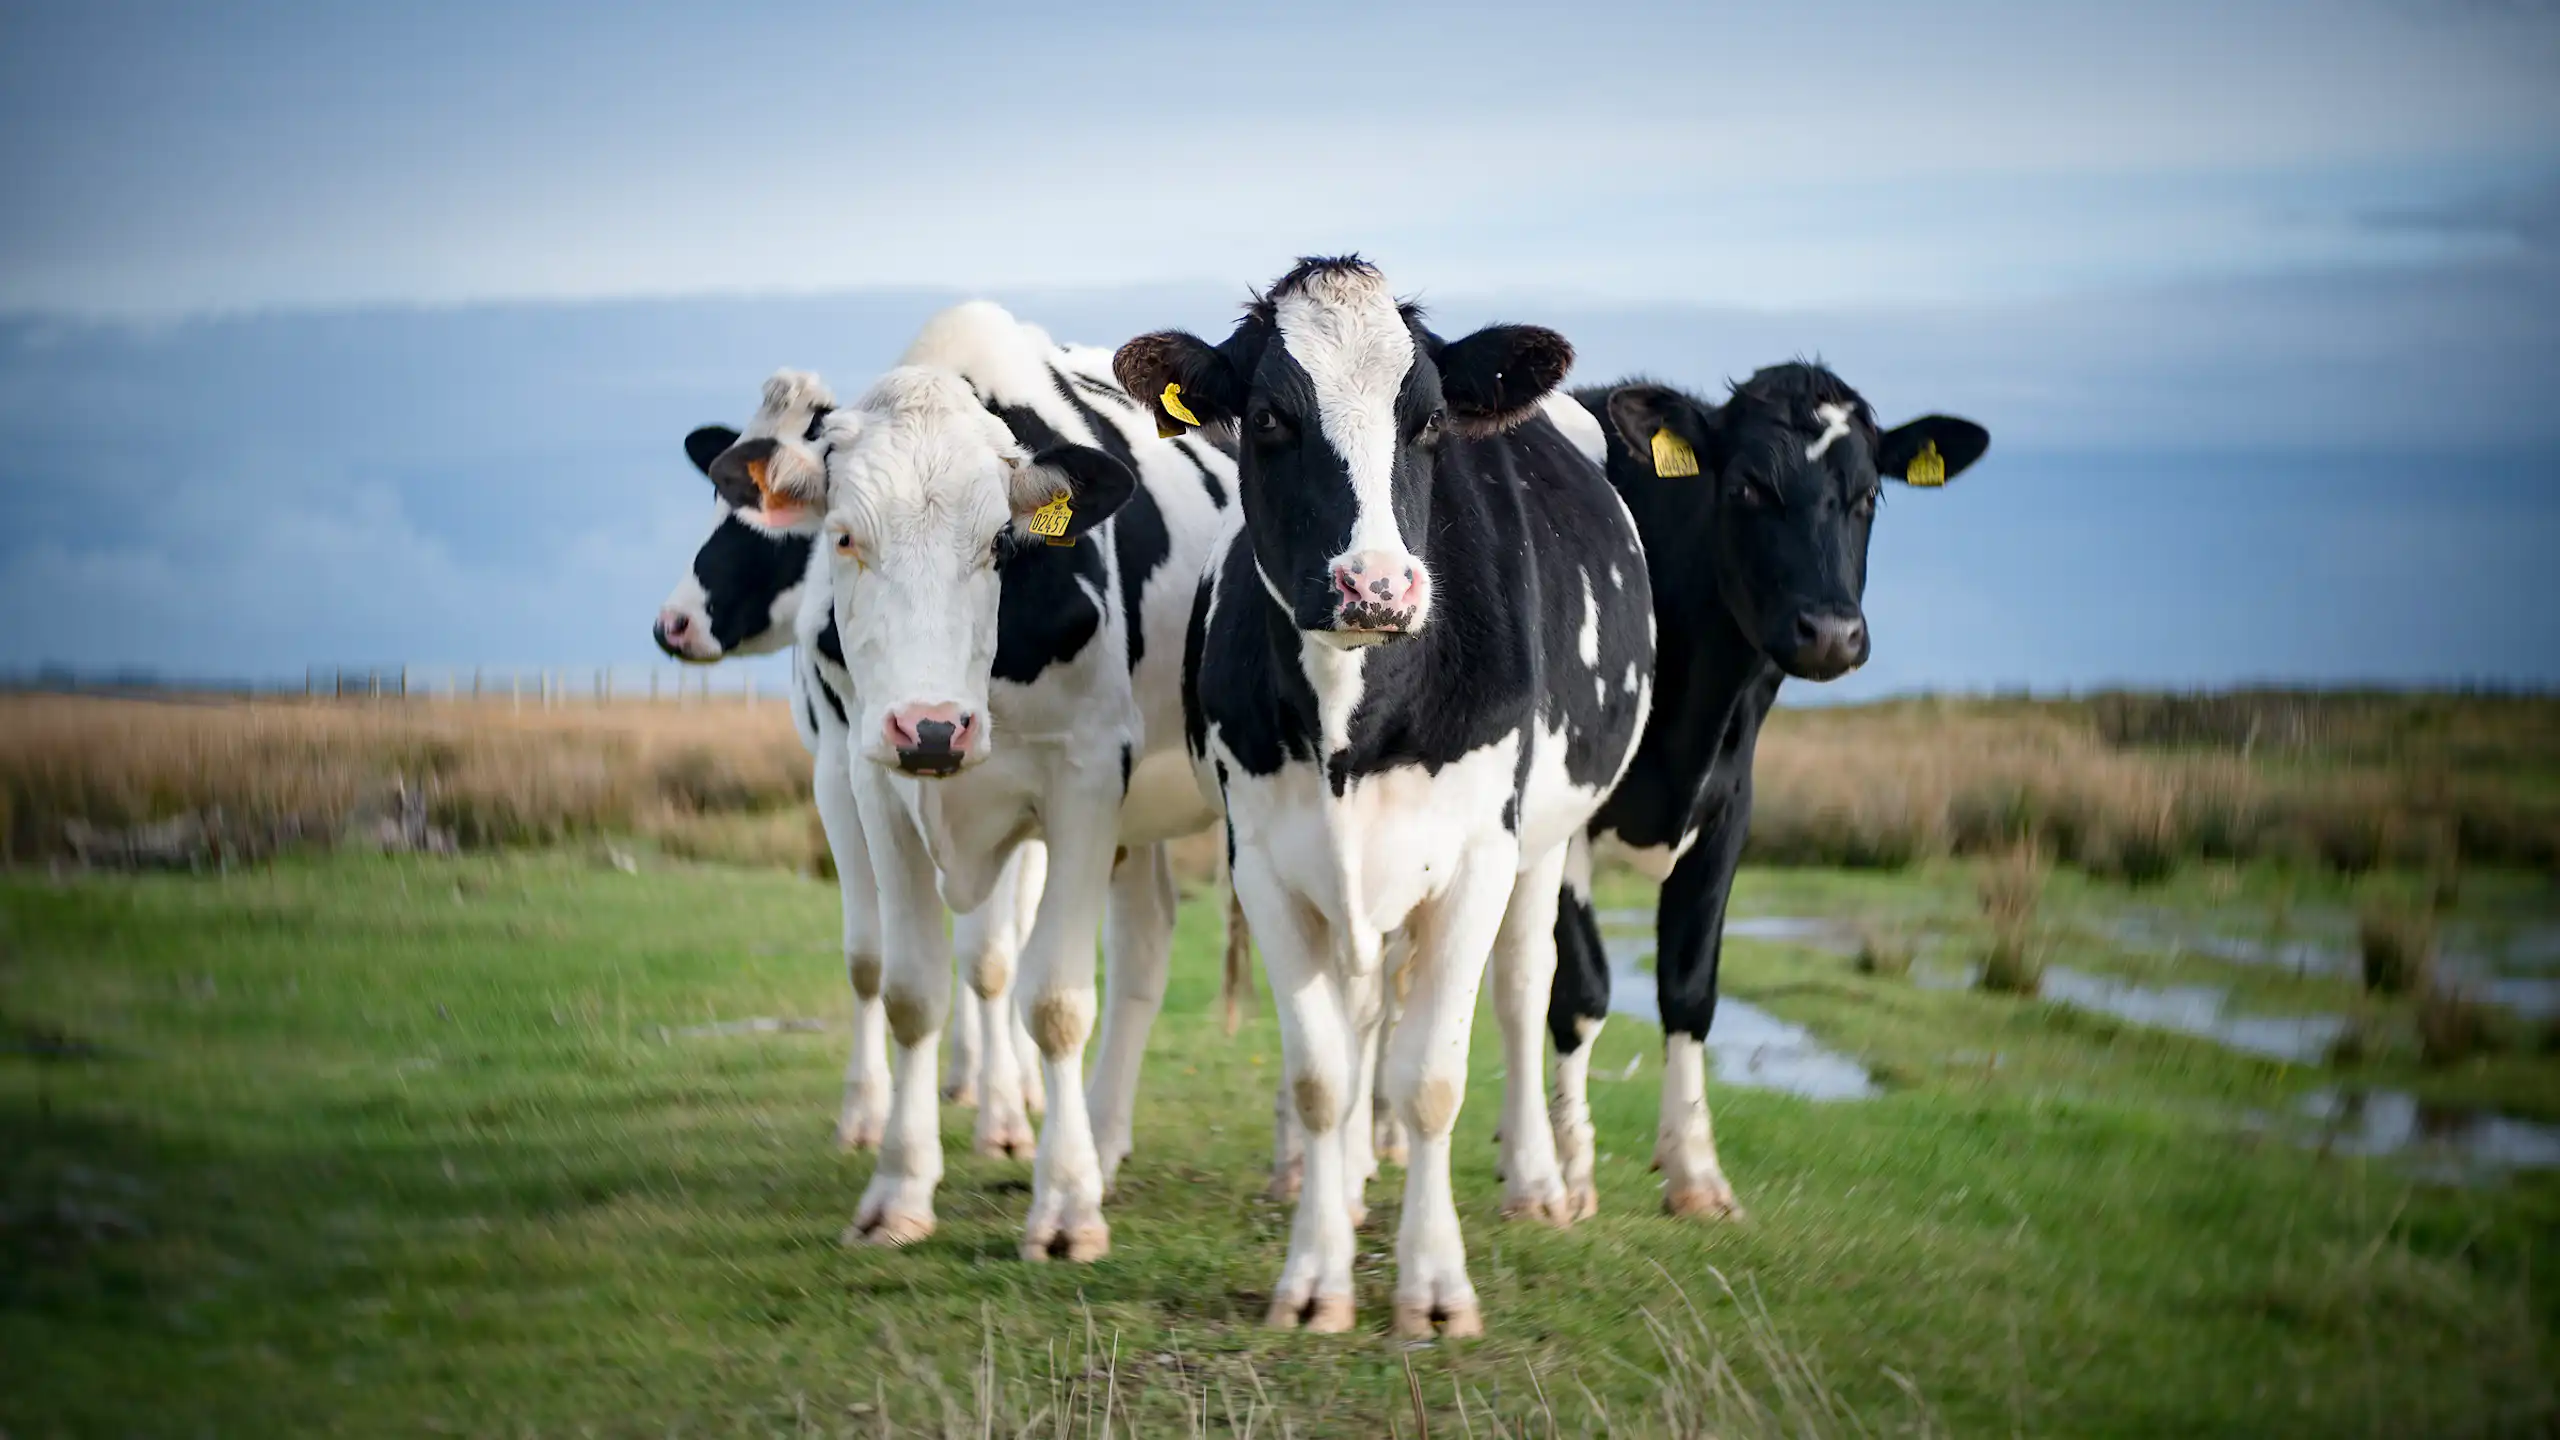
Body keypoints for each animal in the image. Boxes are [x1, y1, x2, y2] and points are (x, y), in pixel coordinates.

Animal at [651, 412, 1049, 1149]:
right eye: (720, 507)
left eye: (773, 530)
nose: (674, 623)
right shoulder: (837, 777)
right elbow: (872, 954)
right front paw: (869, 1110)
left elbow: (990, 954)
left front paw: (1003, 1111)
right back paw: (964, 1075)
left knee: (1013, 932)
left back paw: (1016, 1079)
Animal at [705, 303, 1236, 1261]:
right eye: (843, 536)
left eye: (998, 543)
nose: (932, 724)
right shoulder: (870, 781)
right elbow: (910, 988)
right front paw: (898, 1189)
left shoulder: (1087, 782)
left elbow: (1053, 999)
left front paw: (1065, 1208)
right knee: (1147, 945)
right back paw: (1109, 1140)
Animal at [1115, 257, 1654, 1337]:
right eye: (1269, 417)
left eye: (1430, 420)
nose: (1375, 586)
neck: (1349, 718)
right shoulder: (1266, 861)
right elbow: (1324, 1073)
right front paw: (1315, 1275)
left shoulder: (1479, 855)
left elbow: (1433, 1077)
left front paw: (1434, 1288)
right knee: (1368, 1009)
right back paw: (1361, 1175)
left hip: (1540, 849)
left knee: (1524, 986)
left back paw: (1538, 1180)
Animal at [1544, 365, 1989, 1221]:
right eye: (1748, 486)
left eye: (1867, 495)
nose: (1830, 632)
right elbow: (1582, 988)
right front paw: (1571, 1175)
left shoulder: (1728, 812)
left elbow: (1689, 988)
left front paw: (1696, 1173)